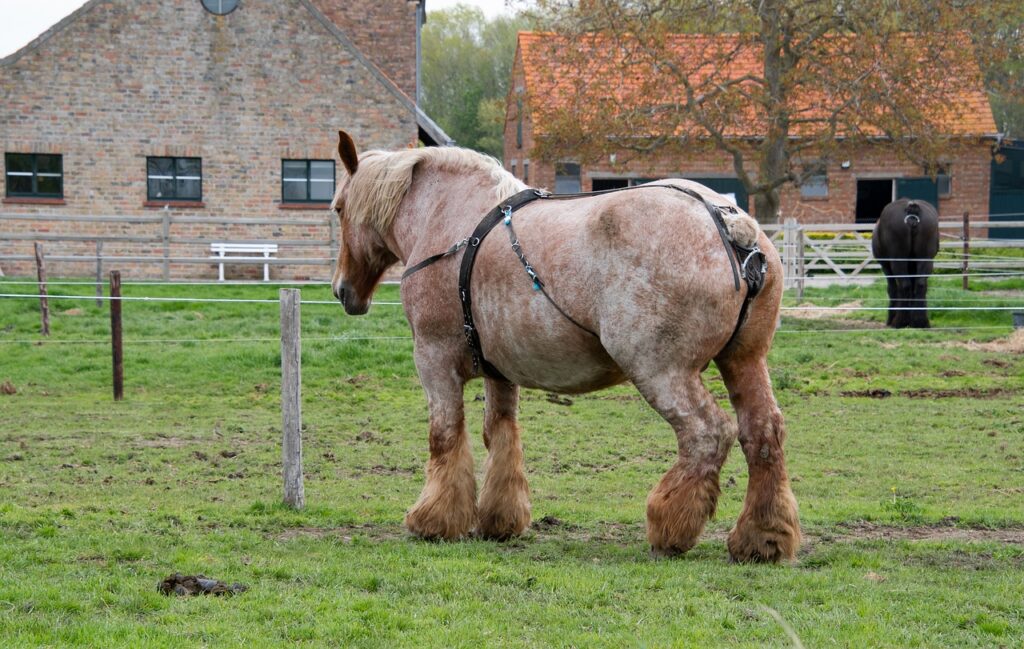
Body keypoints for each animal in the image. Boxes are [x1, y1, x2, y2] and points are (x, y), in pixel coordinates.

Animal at [329, 130, 800, 562]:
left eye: (337, 208)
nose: (342, 291)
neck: (451, 220)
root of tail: (729, 224)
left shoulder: (433, 361)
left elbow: (445, 437)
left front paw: (434, 520)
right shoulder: (501, 372)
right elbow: (500, 435)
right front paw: (499, 519)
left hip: (663, 373)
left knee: (707, 434)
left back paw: (671, 526)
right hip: (743, 362)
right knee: (763, 433)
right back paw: (761, 537)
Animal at [872, 199, 940, 328]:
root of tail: (912, 210)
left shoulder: (886, 267)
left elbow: (893, 289)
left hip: (898, 262)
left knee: (904, 285)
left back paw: (898, 321)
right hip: (925, 260)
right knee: (920, 285)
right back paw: (921, 321)